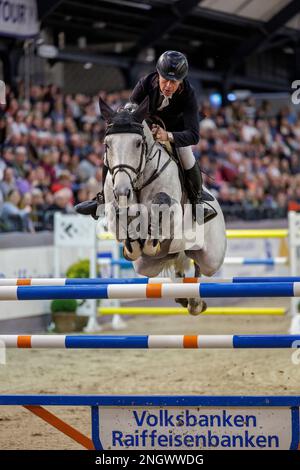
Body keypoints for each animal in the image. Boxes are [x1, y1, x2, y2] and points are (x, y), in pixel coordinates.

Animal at [99, 96, 226, 316]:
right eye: (107, 144)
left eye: (138, 143)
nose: (122, 191)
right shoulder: (112, 213)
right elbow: (121, 221)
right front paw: (132, 243)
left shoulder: (173, 214)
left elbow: (161, 206)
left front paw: (150, 240)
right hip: (146, 266)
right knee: (179, 265)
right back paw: (184, 296)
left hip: (212, 257)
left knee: (199, 267)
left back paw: (195, 302)